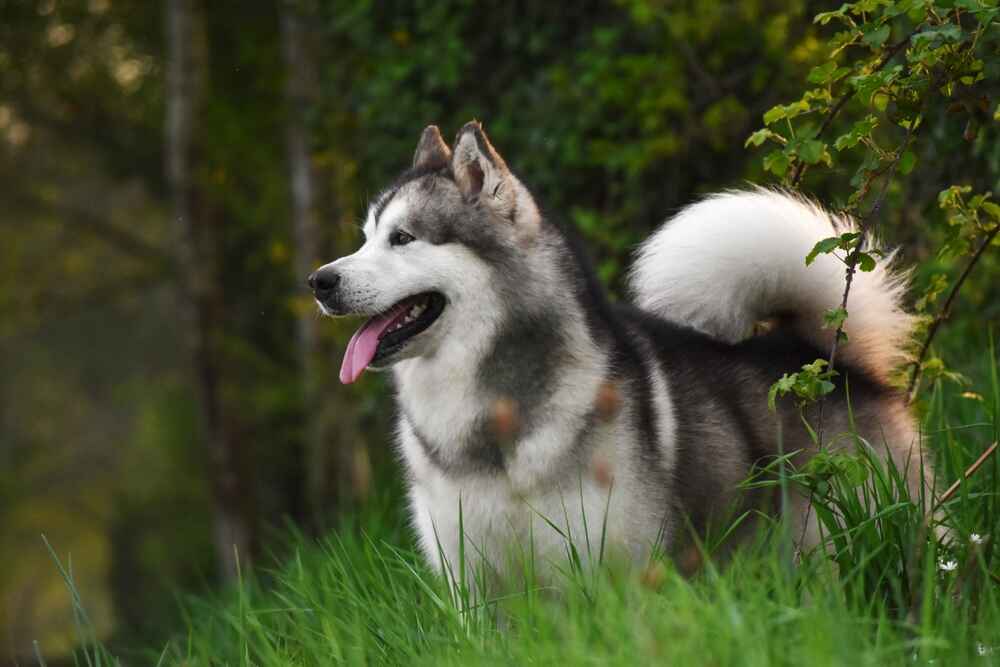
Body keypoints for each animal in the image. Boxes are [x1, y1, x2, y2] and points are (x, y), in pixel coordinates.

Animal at [308, 122, 924, 580]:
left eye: (403, 238)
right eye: (365, 237)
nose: (319, 281)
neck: (486, 413)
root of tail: (825, 360)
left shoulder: (610, 567)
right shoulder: (472, 583)